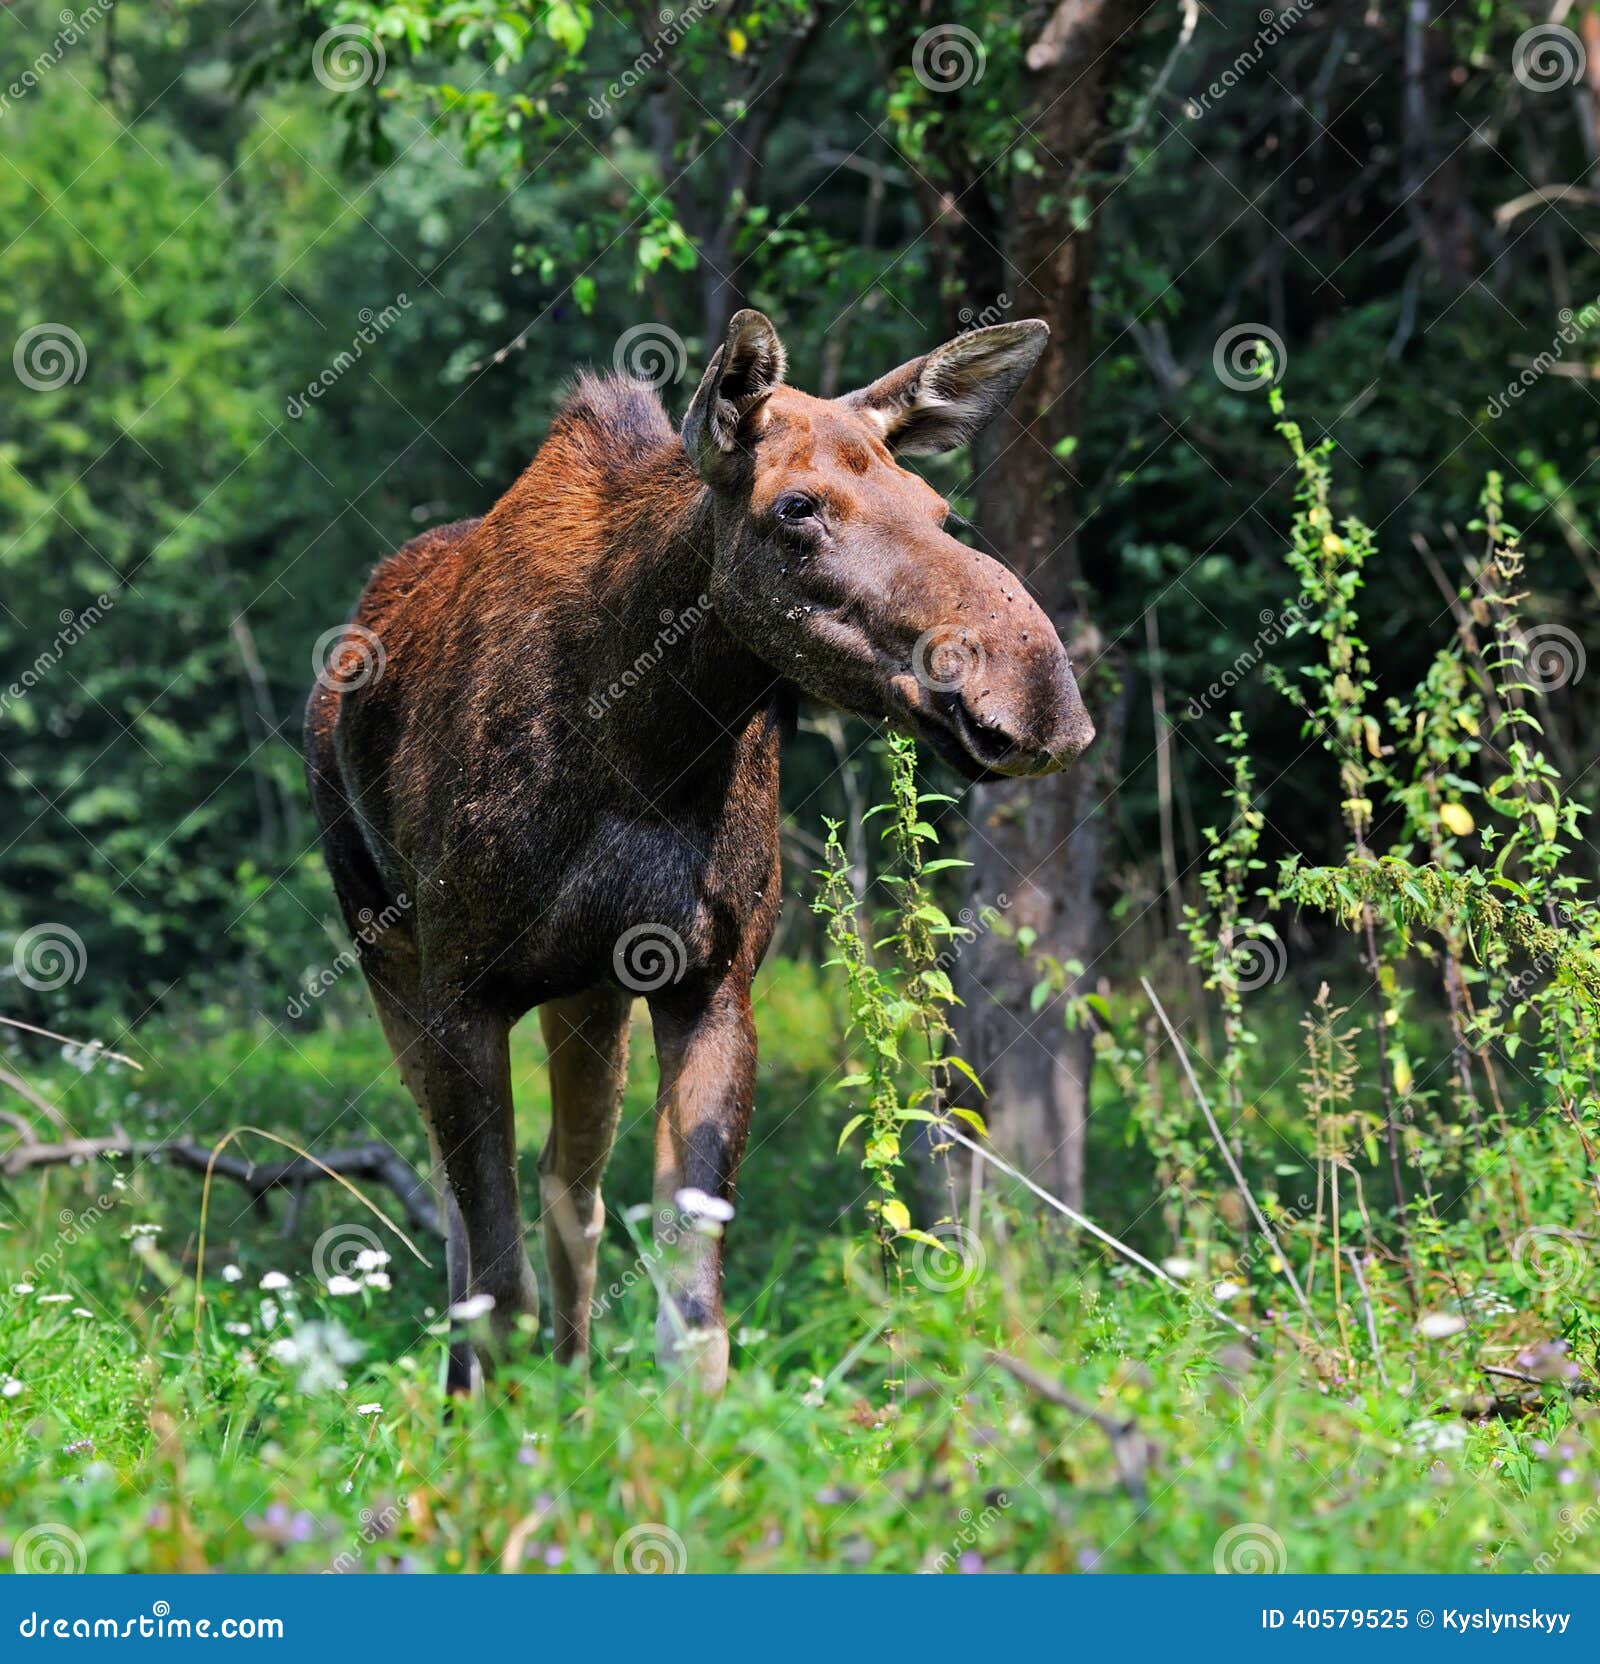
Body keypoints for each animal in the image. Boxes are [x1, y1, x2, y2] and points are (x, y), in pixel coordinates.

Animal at [303, 309, 1095, 1395]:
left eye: (936, 506)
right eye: (795, 506)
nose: (1037, 689)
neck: (648, 736)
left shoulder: (707, 978)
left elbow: (693, 1312)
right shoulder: (458, 988)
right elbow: (496, 1288)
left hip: (585, 990)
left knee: (571, 1185)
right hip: (388, 957)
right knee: (468, 1217)